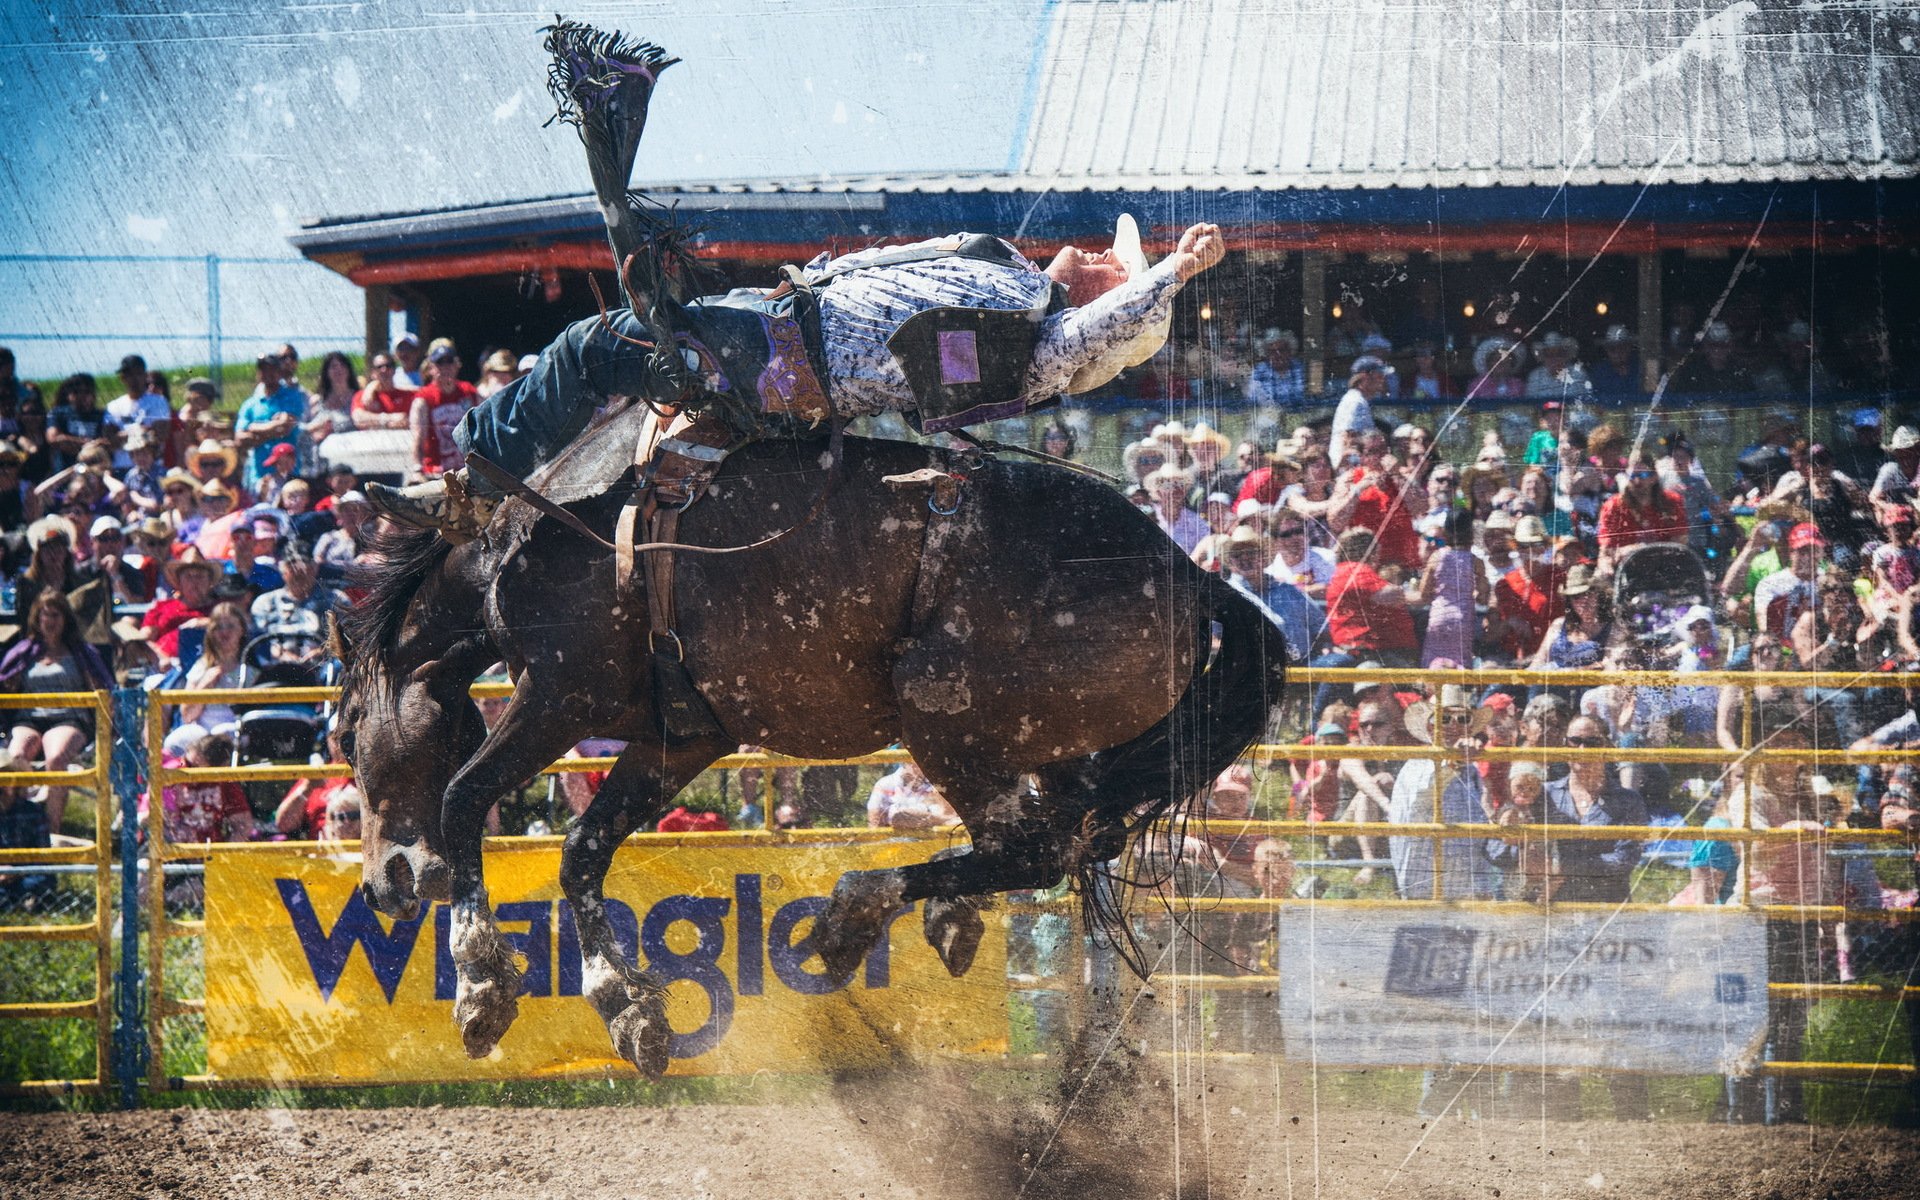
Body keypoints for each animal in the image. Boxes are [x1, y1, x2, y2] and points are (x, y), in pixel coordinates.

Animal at [336, 395, 1282, 1075]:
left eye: (346, 733)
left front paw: (483, 991)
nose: (382, 886)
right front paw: (630, 1012)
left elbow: (464, 800)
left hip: (938, 707)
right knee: (1065, 836)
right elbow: (581, 852)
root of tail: (1192, 577)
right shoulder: (682, 736)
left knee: (1039, 845)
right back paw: (936, 917)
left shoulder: (560, 694)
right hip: (1045, 745)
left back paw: (851, 914)